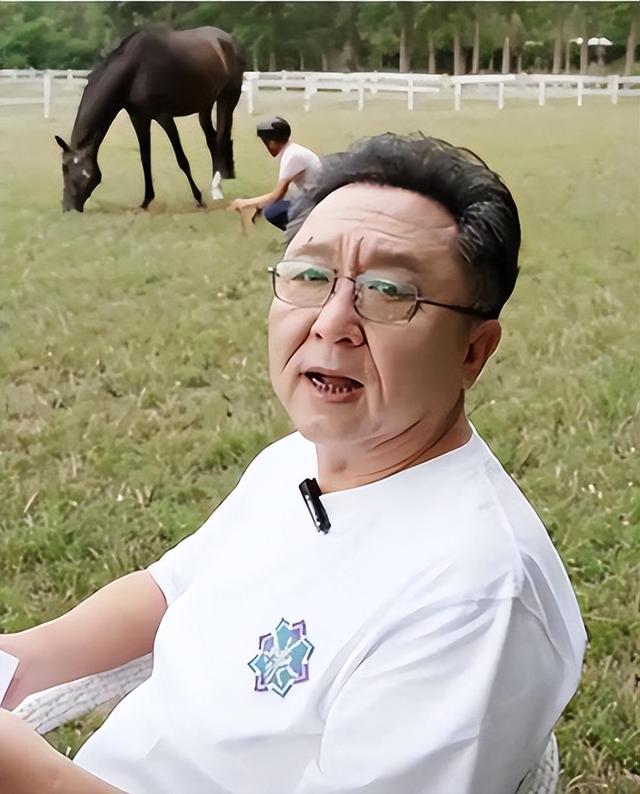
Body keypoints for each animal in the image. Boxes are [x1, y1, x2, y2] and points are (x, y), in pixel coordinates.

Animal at [55, 26, 244, 212]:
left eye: (66, 168)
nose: (67, 207)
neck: (135, 70)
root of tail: (227, 39)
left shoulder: (164, 117)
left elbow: (181, 159)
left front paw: (198, 198)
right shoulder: (139, 118)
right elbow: (145, 158)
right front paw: (146, 201)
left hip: (227, 99)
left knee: (220, 138)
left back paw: (217, 189)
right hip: (205, 106)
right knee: (212, 139)